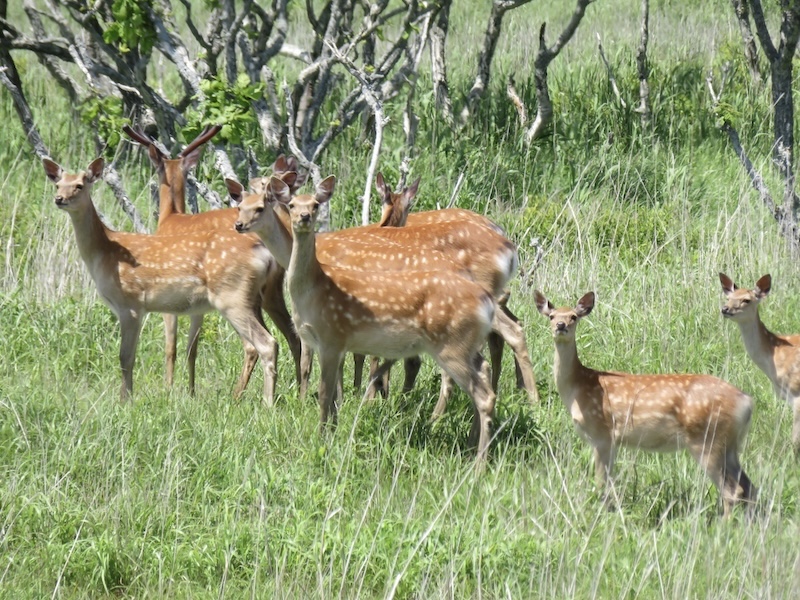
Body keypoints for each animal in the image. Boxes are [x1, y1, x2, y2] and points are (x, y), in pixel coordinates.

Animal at [44, 157, 282, 406]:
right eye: (58, 184)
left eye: (79, 185)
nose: (59, 199)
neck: (104, 252)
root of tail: (264, 253)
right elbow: (131, 356)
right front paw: (128, 397)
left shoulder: (130, 304)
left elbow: (125, 357)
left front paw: (125, 401)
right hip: (252, 298)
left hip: (231, 296)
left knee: (267, 343)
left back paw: (267, 403)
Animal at [123, 125, 308, 398]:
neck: (170, 217)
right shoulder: (196, 304)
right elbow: (192, 347)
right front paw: (190, 391)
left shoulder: (168, 295)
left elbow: (171, 347)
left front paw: (169, 389)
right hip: (266, 292)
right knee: (293, 337)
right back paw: (299, 391)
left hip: (241, 296)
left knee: (257, 343)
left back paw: (241, 394)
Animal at [536, 290, 756, 516]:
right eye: (551, 316)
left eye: (573, 316)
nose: (560, 325)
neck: (578, 387)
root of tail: (746, 401)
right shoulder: (612, 441)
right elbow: (609, 482)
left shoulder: (602, 435)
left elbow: (601, 483)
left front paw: (602, 513)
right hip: (730, 444)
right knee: (749, 487)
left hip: (707, 439)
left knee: (733, 490)